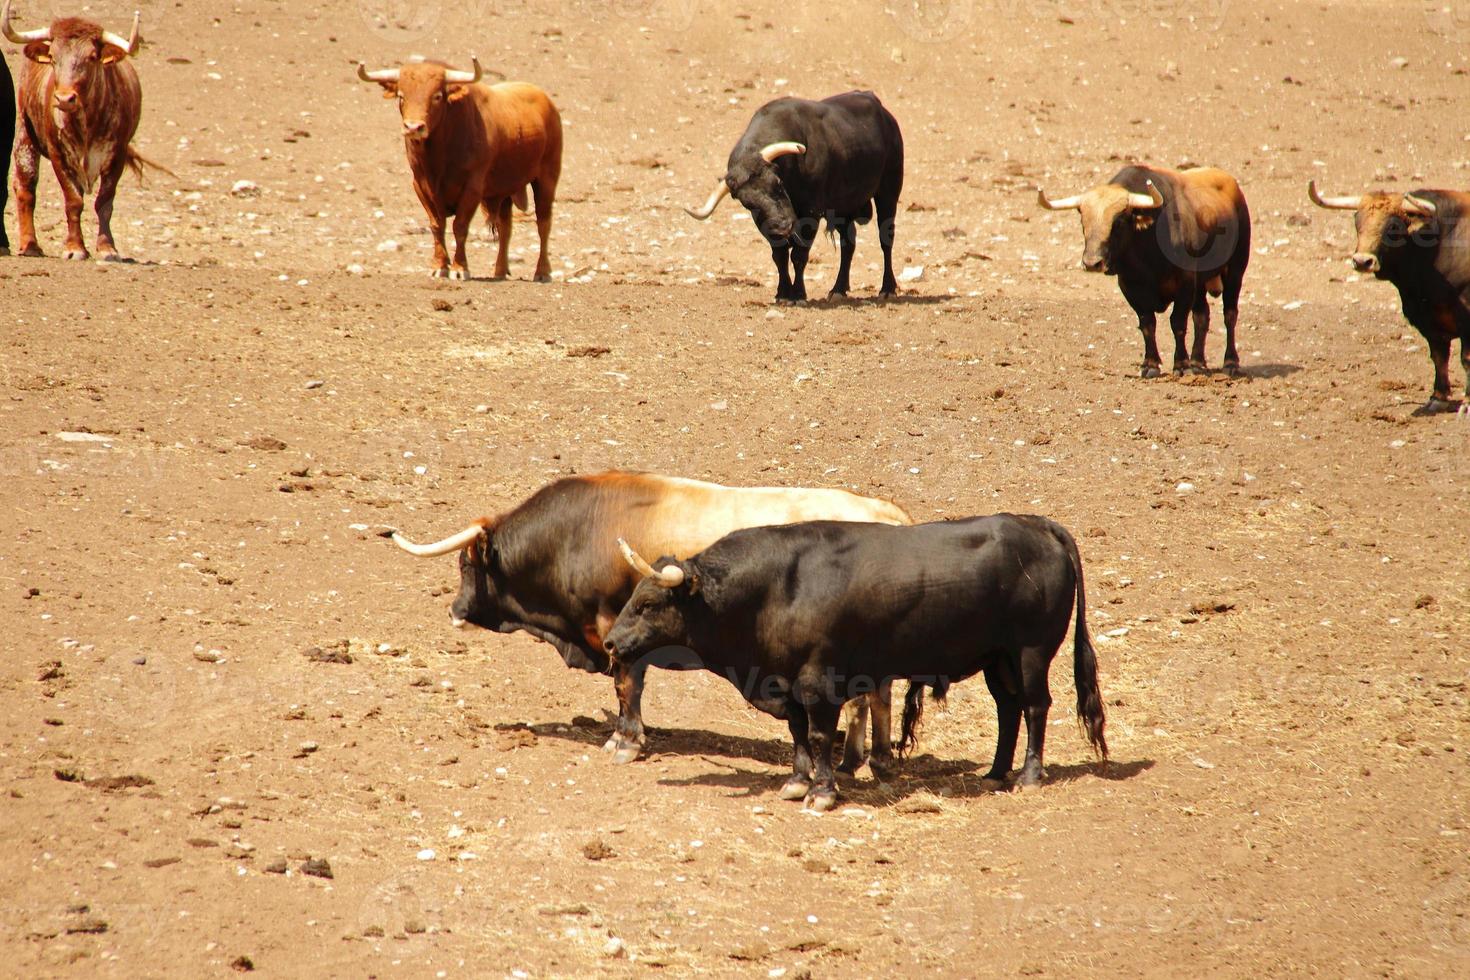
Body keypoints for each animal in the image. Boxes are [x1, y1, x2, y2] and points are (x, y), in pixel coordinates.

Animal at [602, 514, 1105, 811]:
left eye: (648, 603)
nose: (610, 643)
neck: (776, 587)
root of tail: (1037, 525)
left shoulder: (819, 681)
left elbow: (821, 734)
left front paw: (823, 792)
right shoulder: (786, 681)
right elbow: (798, 731)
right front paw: (797, 782)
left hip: (1030, 652)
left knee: (1035, 706)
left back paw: (1029, 776)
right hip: (996, 660)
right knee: (1008, 708)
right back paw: (996, 773)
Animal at [687, 91, 905, 302]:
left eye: (777, 183)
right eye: (748, 203)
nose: (784, 226)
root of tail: (884, 114)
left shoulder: (811, 213)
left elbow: (799, 255)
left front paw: (798, 295)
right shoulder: (767, 226)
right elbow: (780, 256)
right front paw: (783, 293)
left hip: (888, 194)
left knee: (886, 240)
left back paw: (887, 289)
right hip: (843, 208)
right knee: (848, 244)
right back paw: (838, 290)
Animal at [1034, 164, 1252, 379]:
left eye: (1118, 221)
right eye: (1083, 221)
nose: (1092, 263)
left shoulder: (1185, 282)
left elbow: (1178, 323)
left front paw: (1181, 365)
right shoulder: (1131, 287)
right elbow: (1148, 324)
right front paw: (1150, 364)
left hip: (1235, 271)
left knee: (1230, 314)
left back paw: (1230, 362)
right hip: (1200, 286)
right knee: (1202, 316)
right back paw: (1198, 362)